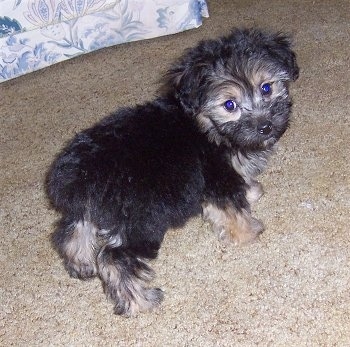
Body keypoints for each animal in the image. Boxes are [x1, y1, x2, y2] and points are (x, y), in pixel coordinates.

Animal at [45, 29, 298, 318]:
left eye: (267, 88)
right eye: (229, 105)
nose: (265, 127)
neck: (208, 127)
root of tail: (80, 174)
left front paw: (251, 190)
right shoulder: (216, 177)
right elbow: (231, 209)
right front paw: (248, 232)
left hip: (100, 211)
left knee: (74, 229)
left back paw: (80, 263)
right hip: (143, 220)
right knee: (114, 258)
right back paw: (140, 302)